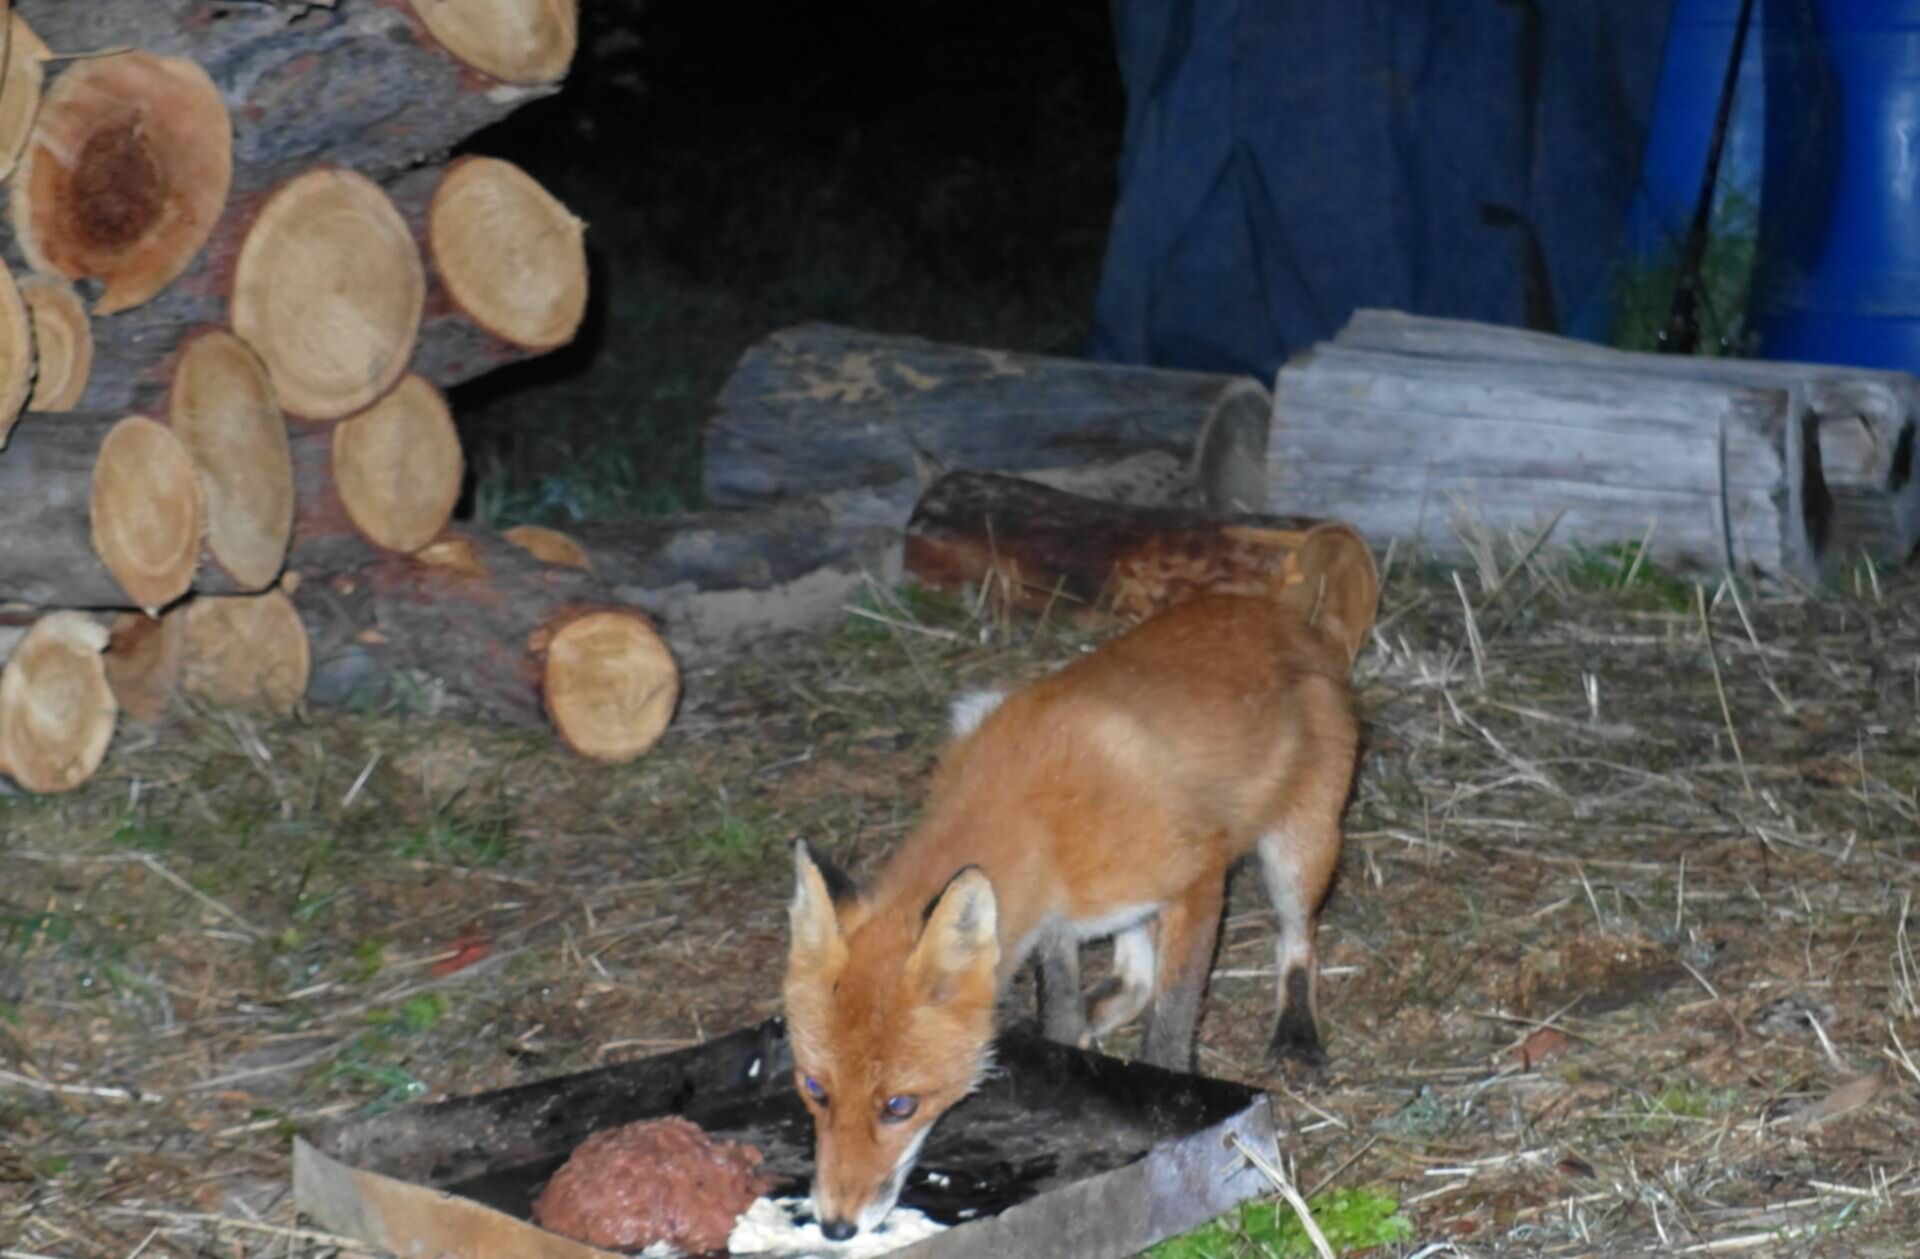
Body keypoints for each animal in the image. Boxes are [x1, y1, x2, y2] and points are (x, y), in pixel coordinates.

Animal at [775, 591, 1351, 1235]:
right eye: (815, 1089)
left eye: (900, 1105)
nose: (835, 1226)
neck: (1035, 808)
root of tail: (1283, 614)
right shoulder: (1053, 924)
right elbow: (1060, 1010)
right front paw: (1065, 1055)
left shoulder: (1199, 880)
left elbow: (1171, 1023)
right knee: (1134, 978)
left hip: (1296, 854)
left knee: (1296, 942)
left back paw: (1297, 1032)